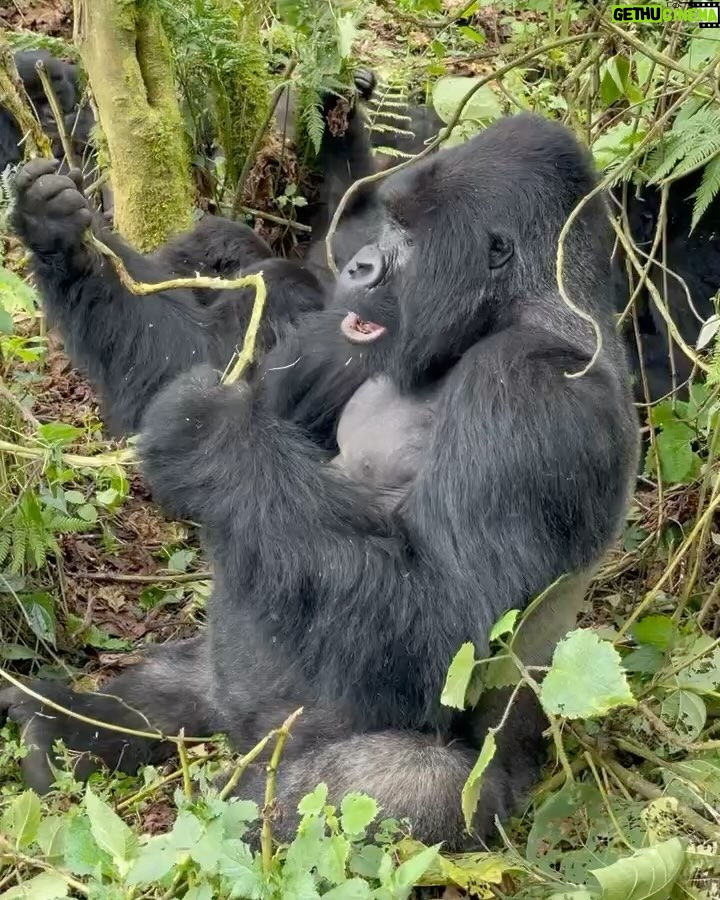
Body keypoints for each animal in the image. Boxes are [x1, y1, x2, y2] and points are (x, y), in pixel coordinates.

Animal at [1, 112, 640, 852]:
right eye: (388, 223)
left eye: (409, 235)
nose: (358, 266)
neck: (514, 312)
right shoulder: (348, 330)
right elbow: (208, 362)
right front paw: (60, 232)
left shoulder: (531, 391)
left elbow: (445, 624)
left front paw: (204, 430)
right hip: (219, 689)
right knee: (181, 680)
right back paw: (62, 725)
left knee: (368, 791)